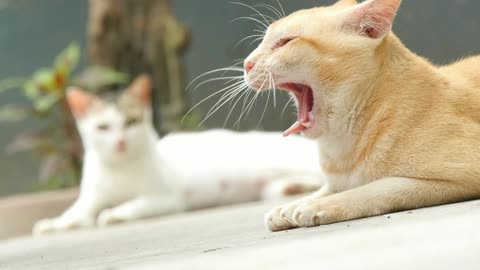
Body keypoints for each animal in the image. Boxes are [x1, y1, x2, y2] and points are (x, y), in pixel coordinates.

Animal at [31, 75, 320, 235]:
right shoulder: (89, 199)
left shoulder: (164, 199)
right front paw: (53, 223)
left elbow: (132, 205)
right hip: (271, 186)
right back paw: (298, 189)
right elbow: (75, 215)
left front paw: (114, 213)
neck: (119, 169)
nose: (120, 142)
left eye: (131, 122)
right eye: (103, 127)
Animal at [242, 0, 480, 232]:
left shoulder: (464, 173)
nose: (246, 63)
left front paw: (317, 205)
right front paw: (292, 206)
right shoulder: (336, 180)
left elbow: (376, 187)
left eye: (286, 42)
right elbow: (329, 188)